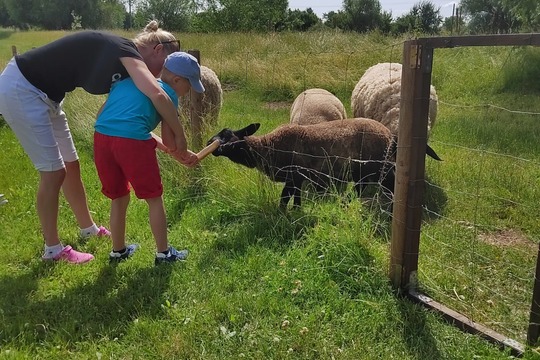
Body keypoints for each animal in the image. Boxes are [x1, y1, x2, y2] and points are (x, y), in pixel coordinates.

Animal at [208, 118, 442, 208]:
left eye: (226, 137)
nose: (209, 144)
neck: (268, 147)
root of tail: (390, 136)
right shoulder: (298, 179)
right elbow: (296, 199)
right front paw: (295, 212)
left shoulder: (293, 176)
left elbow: (285, 198)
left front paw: (283, 214)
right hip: (368, 171)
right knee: (364, 188)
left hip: (376, 168)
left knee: (389, 186)